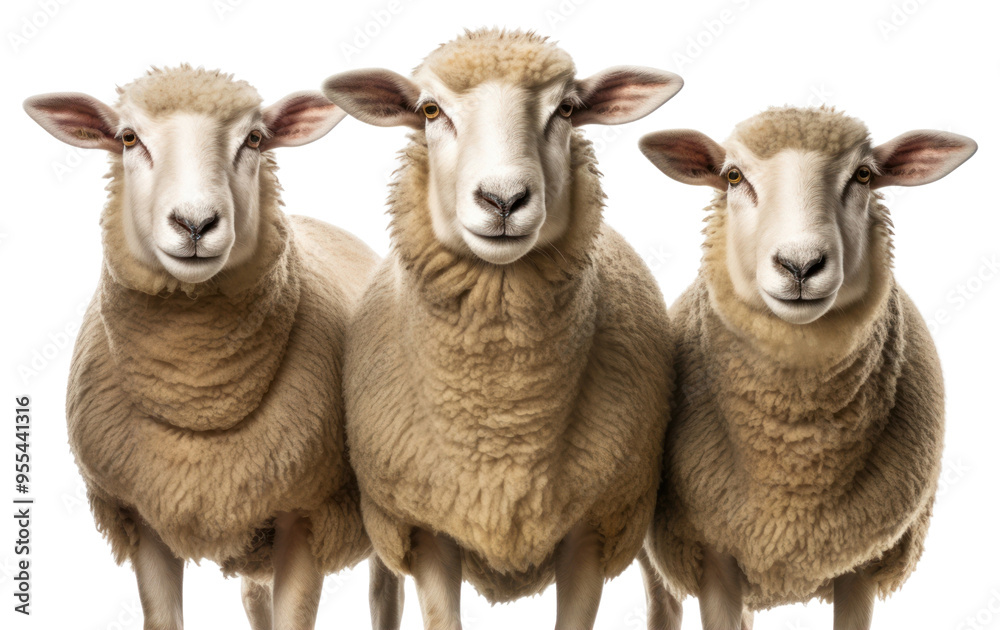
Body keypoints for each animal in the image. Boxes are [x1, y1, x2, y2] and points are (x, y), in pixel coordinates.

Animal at [24, 65, 403, 630]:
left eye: (255, 139)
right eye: (128, 138)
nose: (195, 224)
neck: (198, 393)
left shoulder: (305, 512)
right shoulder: (146, 517)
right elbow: (165, 619)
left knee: (385, 595)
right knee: (253, 598)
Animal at [320, 28, 682, 630]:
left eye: (566, 109)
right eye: (430, 109)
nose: (504, 200)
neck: (502, 418)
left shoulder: (593, 527)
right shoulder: (426, 528)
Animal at [637, 107, 977, 630]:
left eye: (864, 175)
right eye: (733, 176)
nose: (800, 265)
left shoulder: (860, 563)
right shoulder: (713, 553)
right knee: (663, 600)